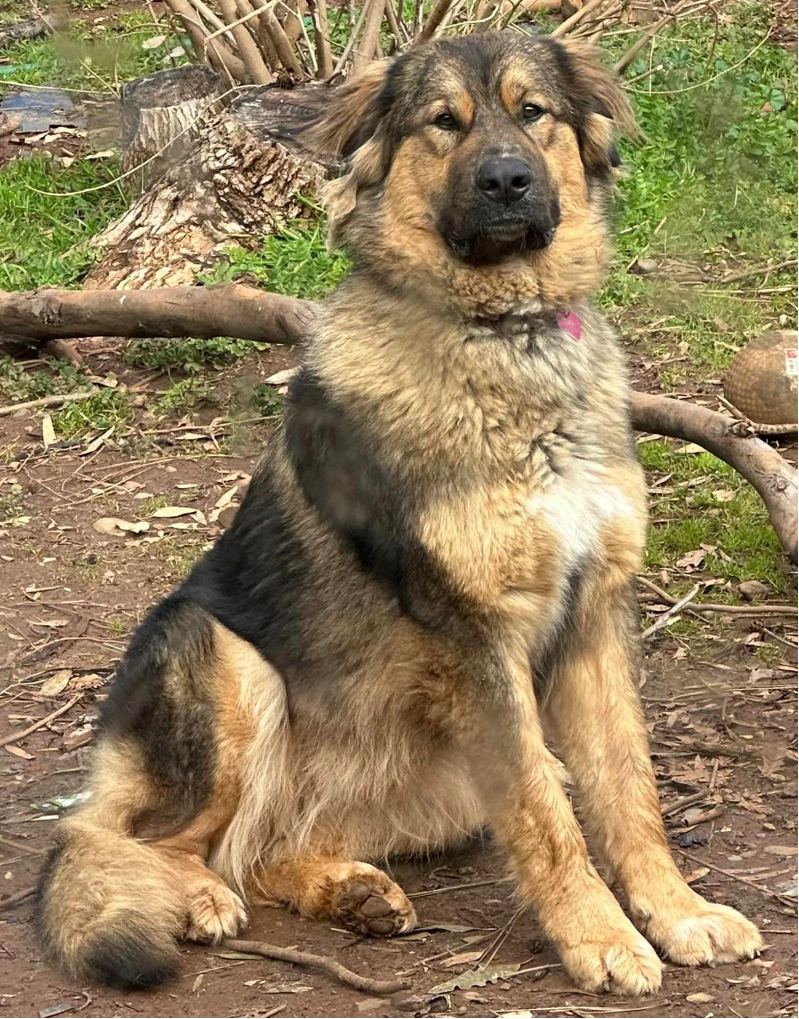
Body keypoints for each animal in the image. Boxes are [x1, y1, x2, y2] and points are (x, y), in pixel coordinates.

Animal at [37, 29, 762, 994]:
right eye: (443, 123)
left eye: (533, 113)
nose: (506, 181)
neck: (506, 338)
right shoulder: (475, 636)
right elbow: (547, 816)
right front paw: (600, 937)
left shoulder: (595, 618)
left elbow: (626, 790)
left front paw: (677, 911)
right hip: (224, 659)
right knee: (133, 837)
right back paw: (193, 896)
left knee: (263, 847)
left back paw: (349, 890)